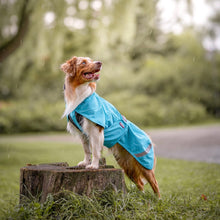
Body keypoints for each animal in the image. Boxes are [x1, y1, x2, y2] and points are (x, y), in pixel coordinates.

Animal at [60, 55, 160, 197]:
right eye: (83, 62)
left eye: (91, 60)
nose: (99, 62)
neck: (80, 94)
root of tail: (148, 137)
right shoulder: (83, 134)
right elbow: (87, 150)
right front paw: (85, 163)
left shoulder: (95, 130)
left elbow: (95, 151)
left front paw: (93, 166)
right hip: (127, 165)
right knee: (140, 183)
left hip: (144, 163)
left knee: (155, 184)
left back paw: (158, 199)